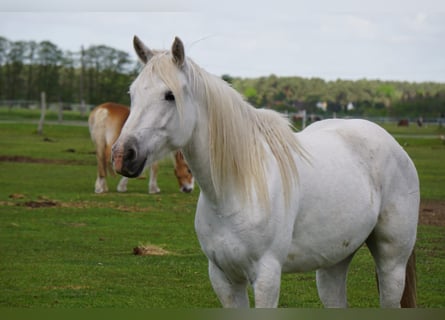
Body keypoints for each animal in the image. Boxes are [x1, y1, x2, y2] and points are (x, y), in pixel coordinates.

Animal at [110, 36, 416, 308]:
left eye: (169, 95)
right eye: (133, 94)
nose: (123, 155)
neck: (235, 190)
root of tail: (393, 144)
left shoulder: (267, 276)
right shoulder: (223, 278)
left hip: (392, 264)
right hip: (334, 262)